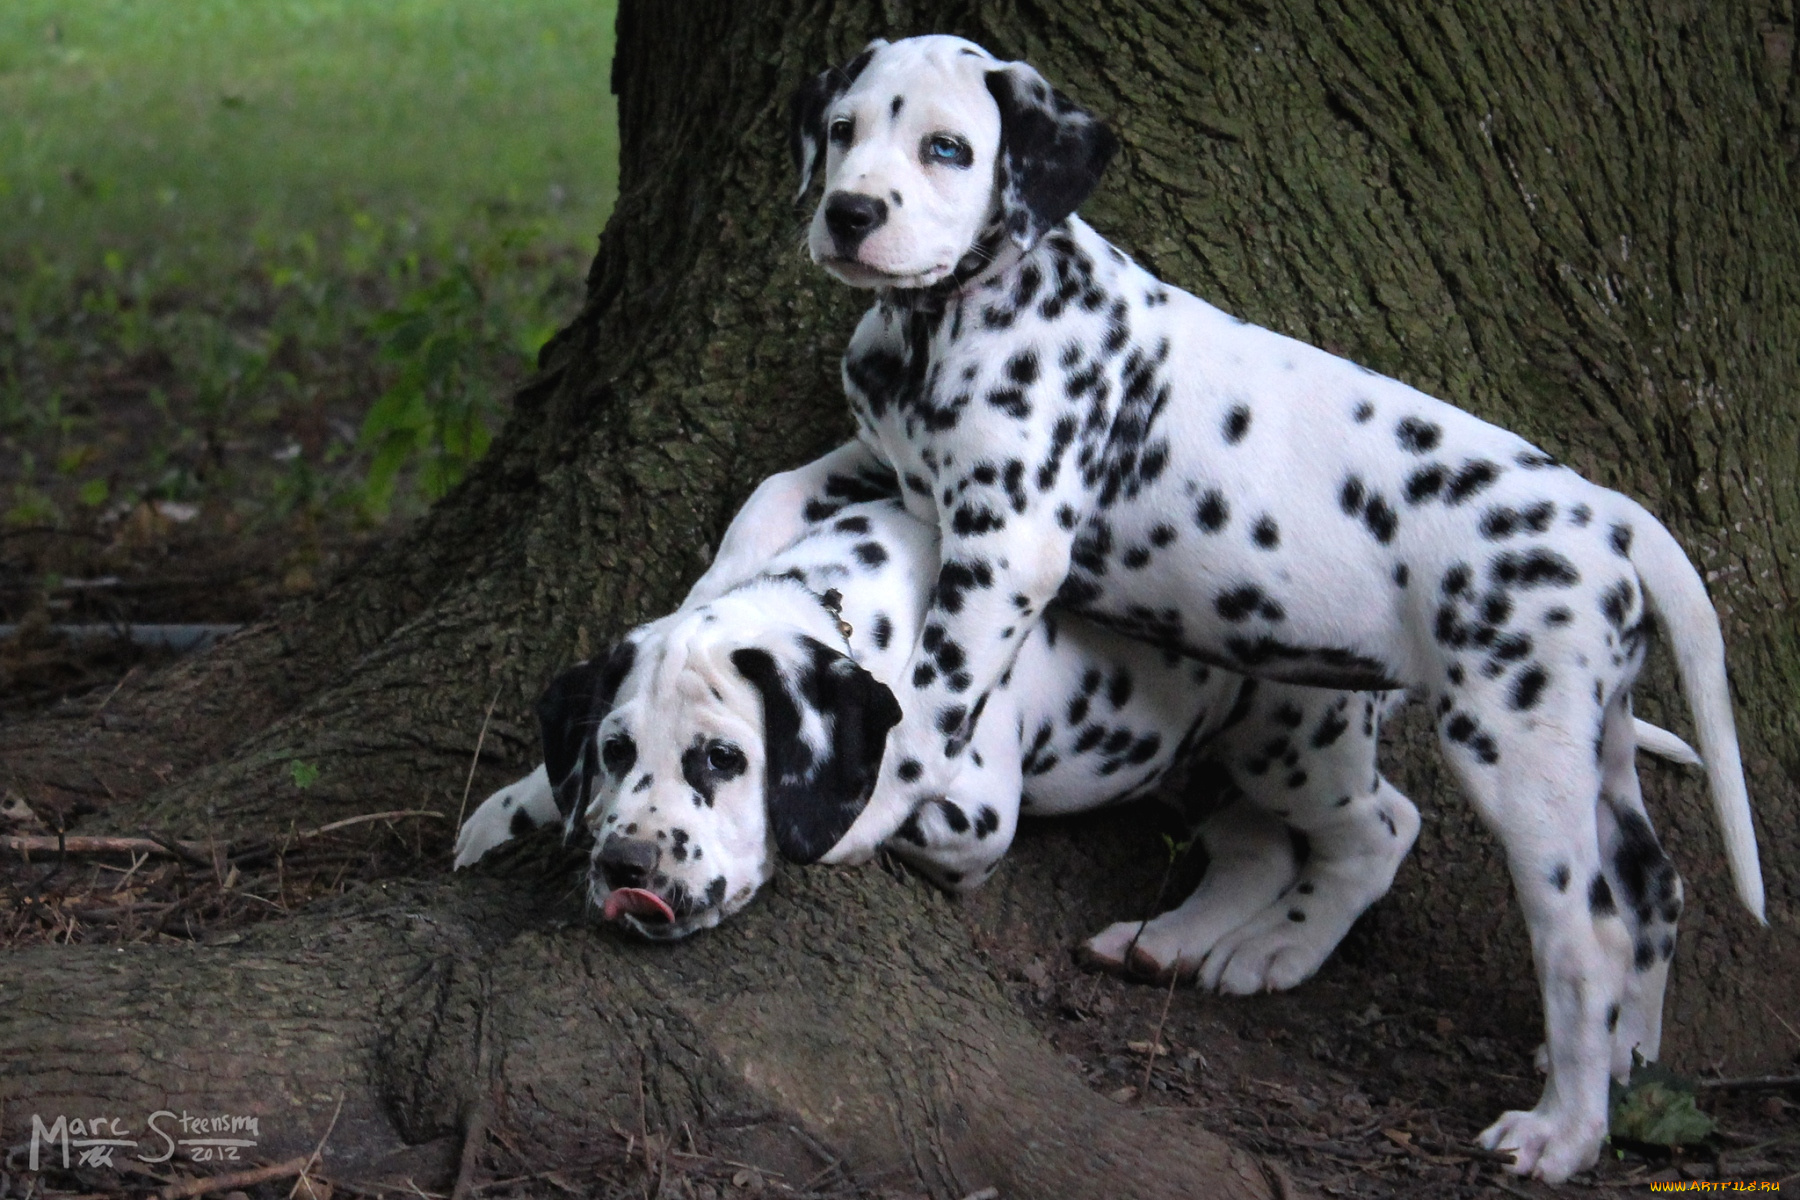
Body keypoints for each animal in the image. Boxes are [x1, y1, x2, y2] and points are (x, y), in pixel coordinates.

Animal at [795, 35, 1764, 1180]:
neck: (947, 325)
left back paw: (1562, 1129)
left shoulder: (1004, 549)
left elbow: (927, 710)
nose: (850, 212)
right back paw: (1625, 1062)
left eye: (947, 148)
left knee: (1581, 936)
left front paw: (866, 817)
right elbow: (781, 488)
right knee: (1652, 890)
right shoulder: (892, 470)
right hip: (1591, 737)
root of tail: (1611, 515)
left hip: (1517, 755)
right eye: (844, 130)